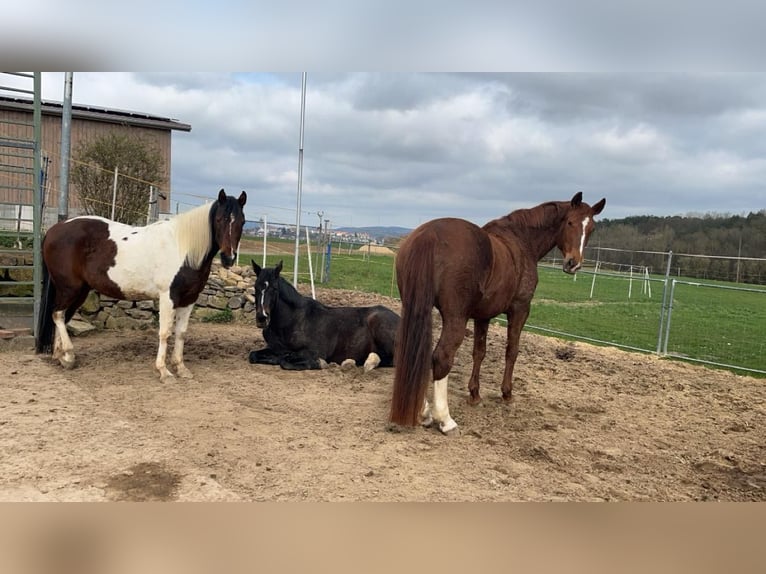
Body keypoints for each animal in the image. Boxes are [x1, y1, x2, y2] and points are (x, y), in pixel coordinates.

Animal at [35, 188, 247, 382]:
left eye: (242, 222)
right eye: (219, 219)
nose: (228, 258)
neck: (183, 249)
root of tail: (54, 230)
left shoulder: (189, 299)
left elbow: (181, 333)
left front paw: (180, 368)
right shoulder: (168, 297)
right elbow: (165, 333)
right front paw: (164, 371)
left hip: (79, 291)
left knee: (62, 316)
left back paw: (60, 357)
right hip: (70, 288)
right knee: (58, 314)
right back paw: (69, 355)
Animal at [247, 260, 400, 371]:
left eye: (274, 288)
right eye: (255, 287)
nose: (262, 318)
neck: (293, 321)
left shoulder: (315, 352)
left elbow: (285, 361)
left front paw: (320, 363)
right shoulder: (275, 348)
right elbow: (254, 355)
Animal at [389, 191, 606, 434]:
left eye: (591, 228)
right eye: (570, 222)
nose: (573, 263)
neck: (522, 241)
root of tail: (429, 235)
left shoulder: (483, 316)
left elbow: (479, 352)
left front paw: (474, 394)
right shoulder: (520, 309)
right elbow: (512, 351)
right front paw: (507, 393)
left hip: (415, 307)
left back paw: (424, 410)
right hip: (455, 318)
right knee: (442, 357)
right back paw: (444, 419)